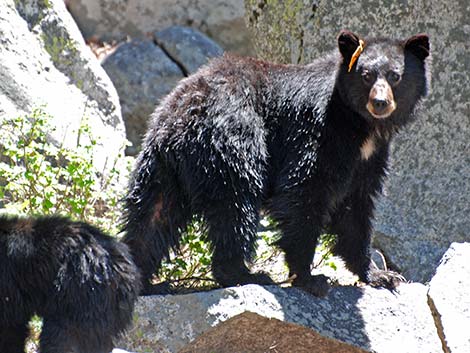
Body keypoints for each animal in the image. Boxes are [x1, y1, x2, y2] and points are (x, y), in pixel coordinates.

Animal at [121, 30, 430, 296]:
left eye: (395, 76)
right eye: (366, 76)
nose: (380, 103)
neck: (361, 128)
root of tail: (181, 116)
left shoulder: (369, 159)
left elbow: (355, 209)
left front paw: (383, 276)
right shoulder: (317, 134)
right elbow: (304, 192)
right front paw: (310, 277)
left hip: (161, 167)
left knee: (152, 216)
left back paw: (142, 279)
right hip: (233, 143)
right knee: (236, 203)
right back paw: (246, 274)